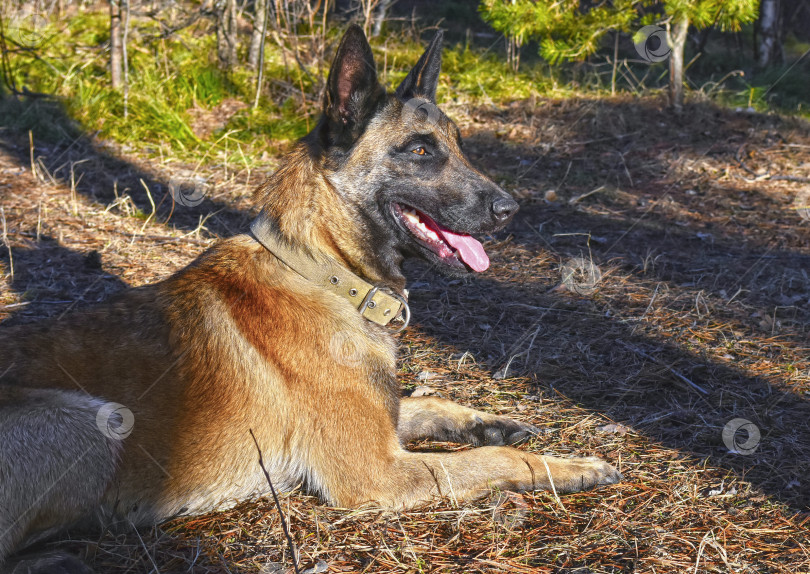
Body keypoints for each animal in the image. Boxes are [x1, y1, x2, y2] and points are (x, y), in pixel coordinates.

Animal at [0, 24, 620, 572]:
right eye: (420, 151)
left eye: (459, 147)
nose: (510, 210)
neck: (326, 272)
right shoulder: (377, 473)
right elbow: (494, 459)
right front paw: (568, 466)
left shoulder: (384, 425)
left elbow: (429, 404)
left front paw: (490, 420)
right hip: (90, 418)